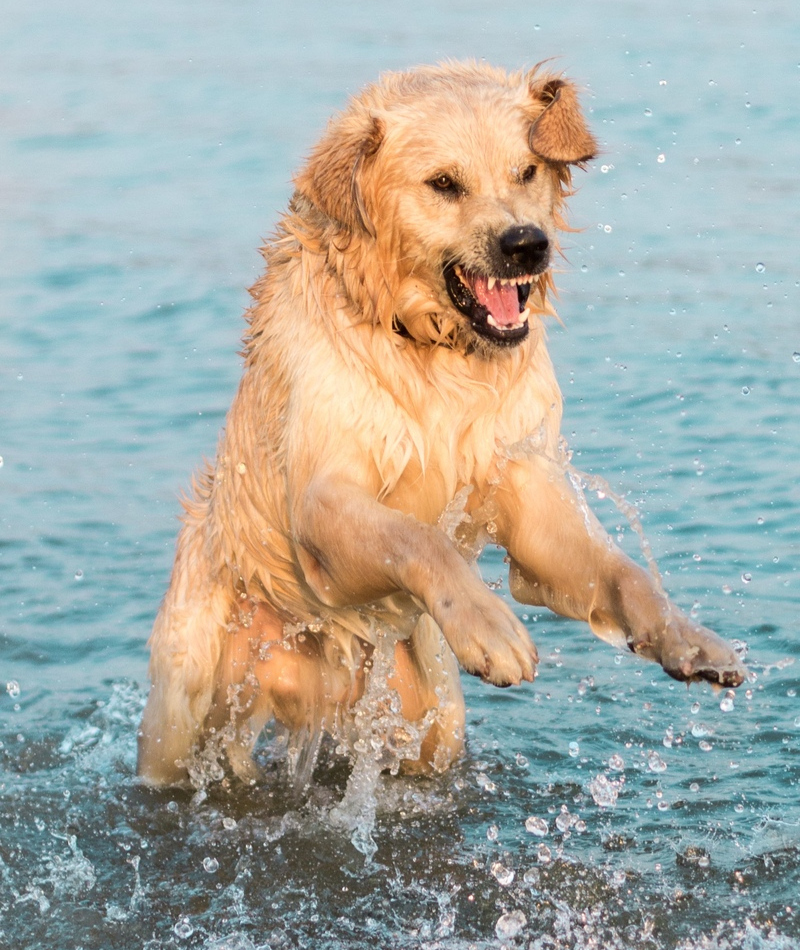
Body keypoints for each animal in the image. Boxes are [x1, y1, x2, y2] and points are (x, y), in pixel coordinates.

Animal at [136, 59, 744, 788]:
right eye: (444, 184)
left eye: (527, 171)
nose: (526, 244)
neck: (432, 348)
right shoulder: (321, 499)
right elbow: (417, 537)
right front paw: (491, 628)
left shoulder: (522, 479)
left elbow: (622, 571)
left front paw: (689, 637)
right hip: (186, 700)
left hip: (432, 714)